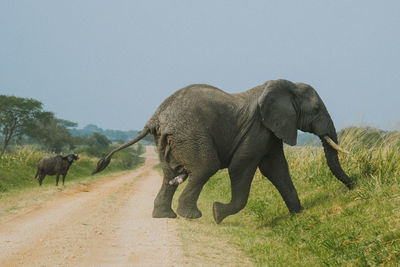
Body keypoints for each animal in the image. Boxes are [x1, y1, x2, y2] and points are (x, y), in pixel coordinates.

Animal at [93, 79, 354, 224]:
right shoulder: (257, 129)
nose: (354, 186)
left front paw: (298, 214)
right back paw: (193, 216)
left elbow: (276, 168)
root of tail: (155, 117)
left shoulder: (270, 131)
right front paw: (218, 213)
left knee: (170, 174)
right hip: (189, 134)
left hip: (167, 139)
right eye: (317, 109)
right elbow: (242, 166)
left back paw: (166, 216)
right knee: (204, 167)